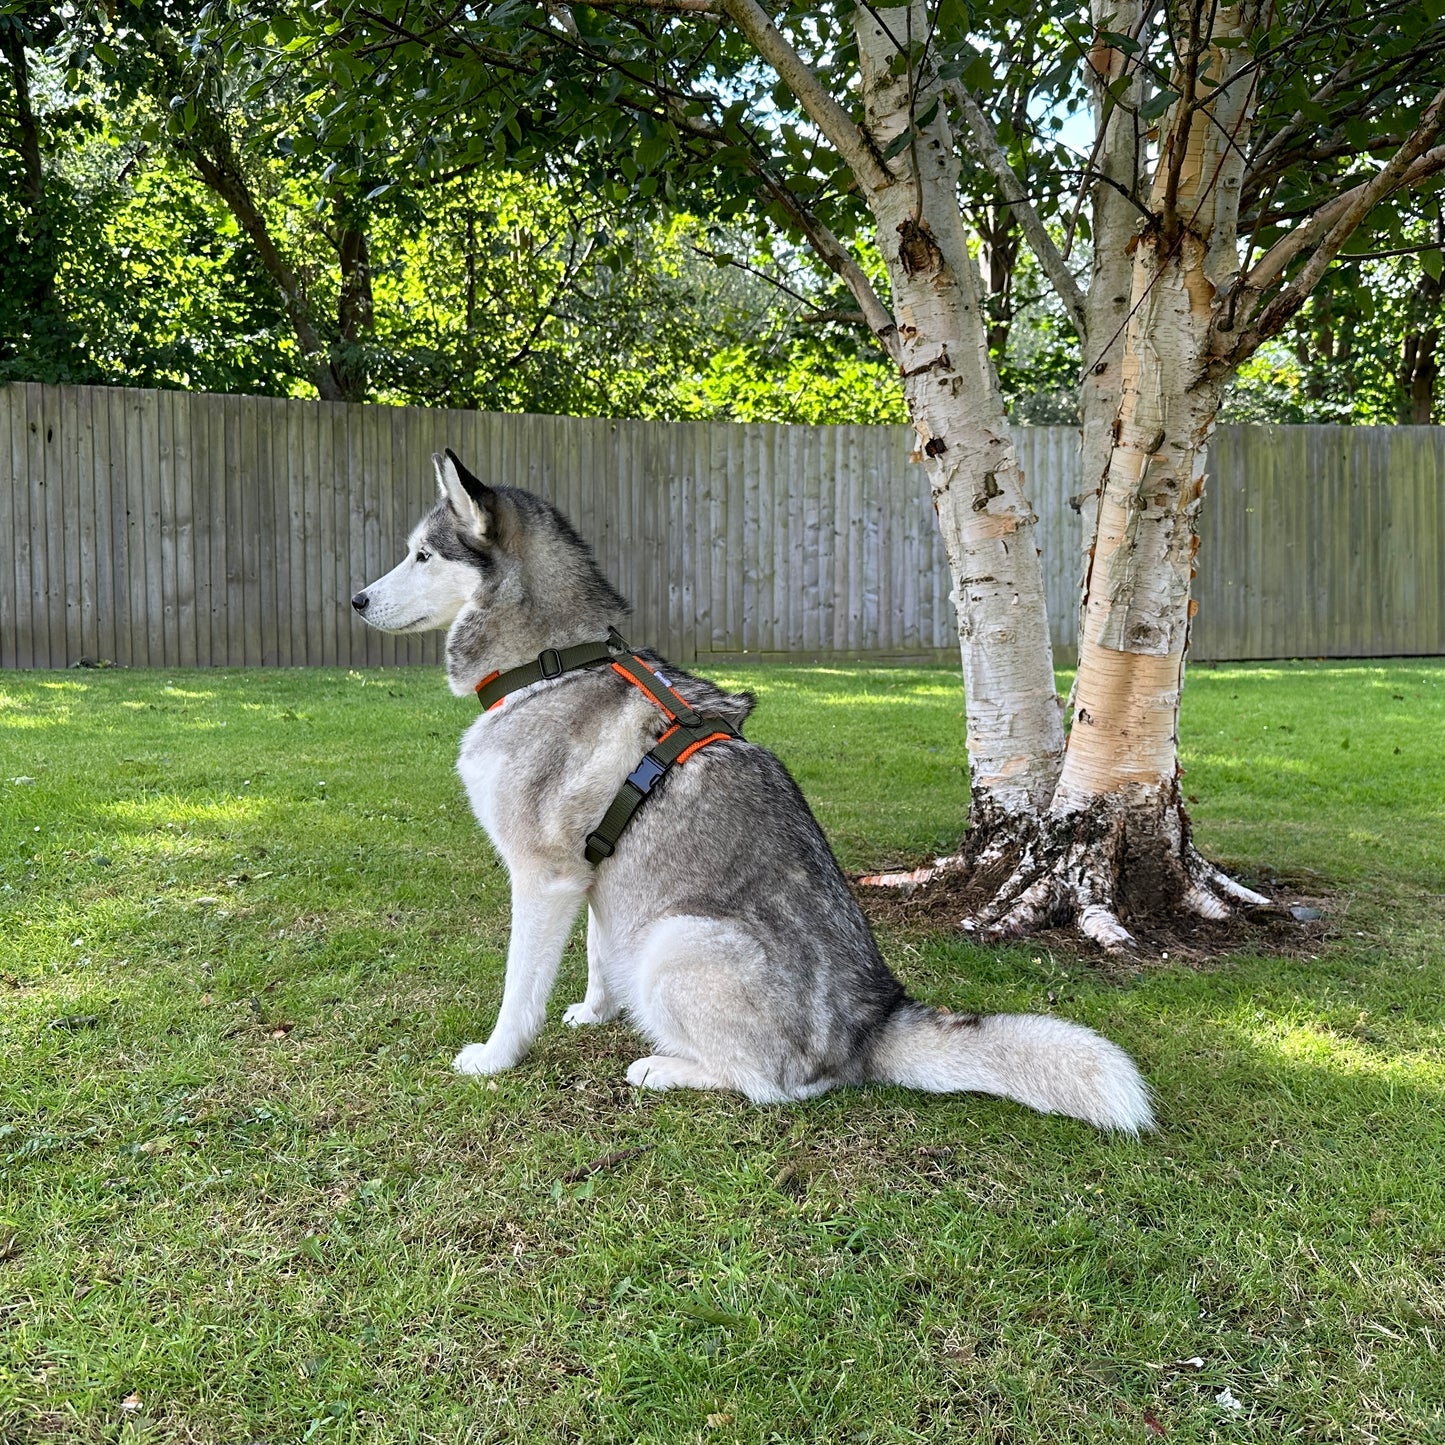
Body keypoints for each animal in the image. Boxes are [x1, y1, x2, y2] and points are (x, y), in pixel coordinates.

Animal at [349, 456, 1150, 1132]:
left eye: (422, 555)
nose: (355, 599)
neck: (553, 661)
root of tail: (871, 1023)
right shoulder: (595, 877)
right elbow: (600, 954)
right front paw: (594, 1011)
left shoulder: (542, 877)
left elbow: (520, 989)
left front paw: (495, 1057)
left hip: (675, 939)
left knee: (772, 1086)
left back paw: (665, 1066)